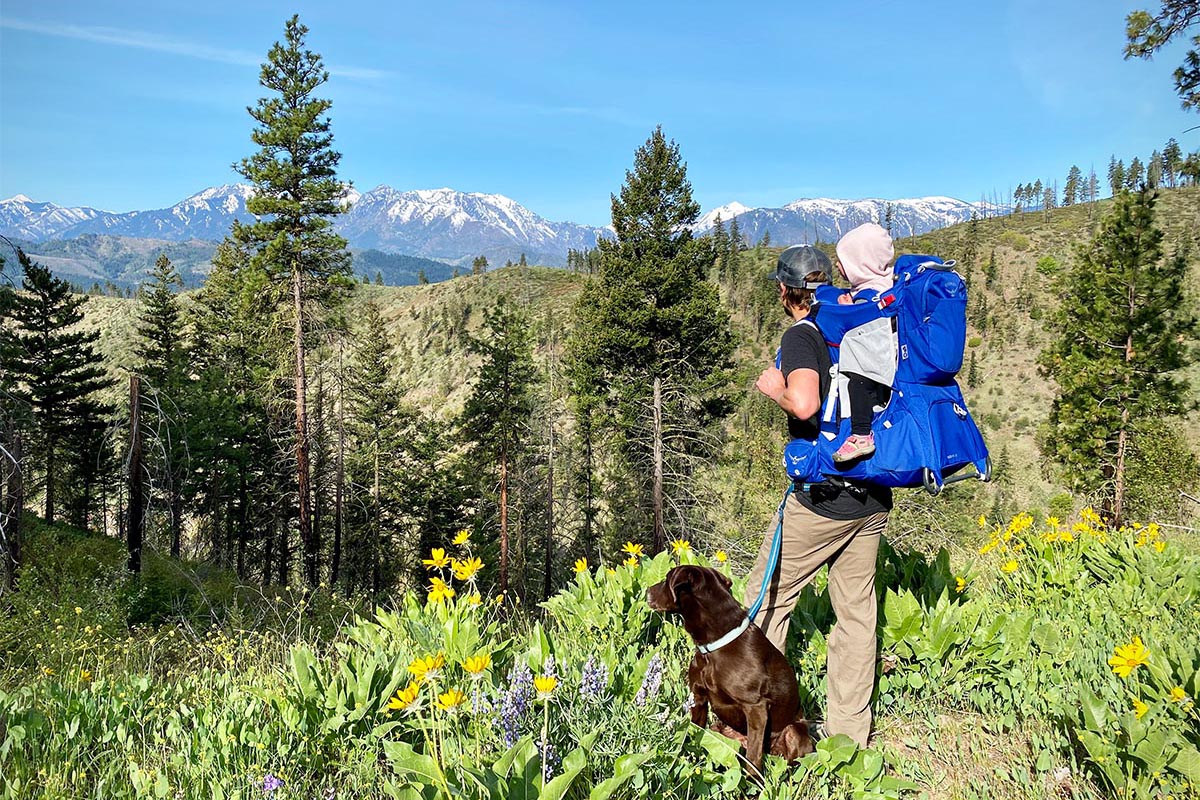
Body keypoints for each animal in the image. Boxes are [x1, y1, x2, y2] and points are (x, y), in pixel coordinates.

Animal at [648, 563, 816, 767]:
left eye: (666, 579)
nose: (647, 591)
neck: (714, 646)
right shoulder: (699, 697)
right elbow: (694, 732)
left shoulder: (756, 708)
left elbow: (753, 758)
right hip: (720, 728)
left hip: (793, 733)